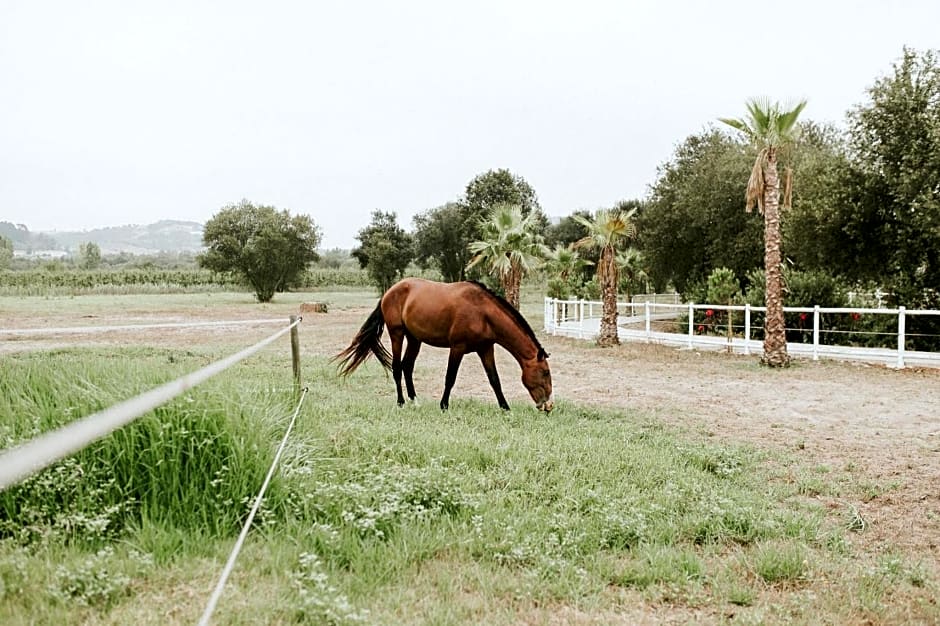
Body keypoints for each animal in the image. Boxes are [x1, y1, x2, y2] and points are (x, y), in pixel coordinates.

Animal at [336, 276, 556, 412]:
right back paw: (401, 402)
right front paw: (443, 405)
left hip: (414, 339)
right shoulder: (457, 348)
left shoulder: (486, 348)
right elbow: (450, 378)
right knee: (398, 368)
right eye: (545, 372)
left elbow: (494, 380)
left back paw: (414, 401)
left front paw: (505, 408)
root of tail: (389, 292)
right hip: (397, 334)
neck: (482, 313)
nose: (548, 406)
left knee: (407, 367)